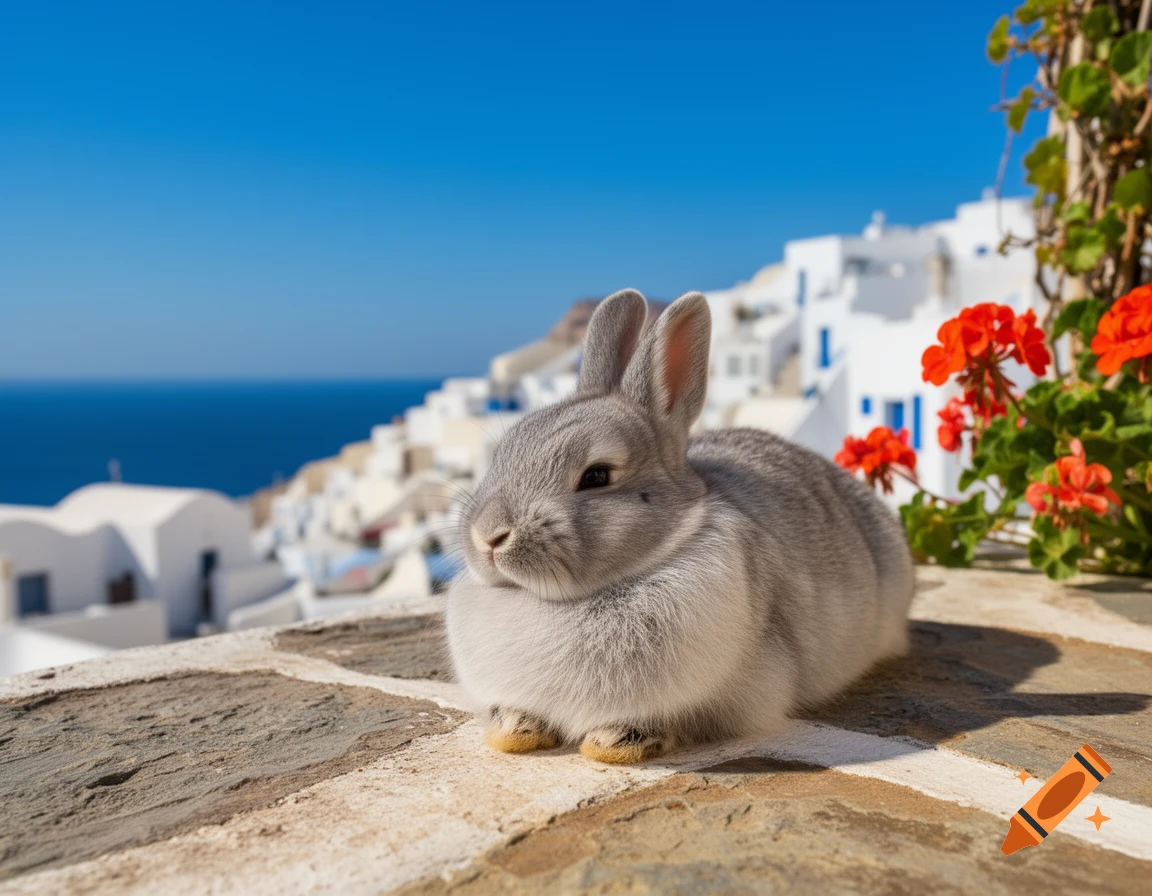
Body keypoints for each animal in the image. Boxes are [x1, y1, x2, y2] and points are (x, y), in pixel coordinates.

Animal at [445, 288, 914, 764]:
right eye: (503, 452)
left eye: (597, 476)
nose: (488, 536)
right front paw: (513, 731)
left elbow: (674, 723)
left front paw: (611, 744)